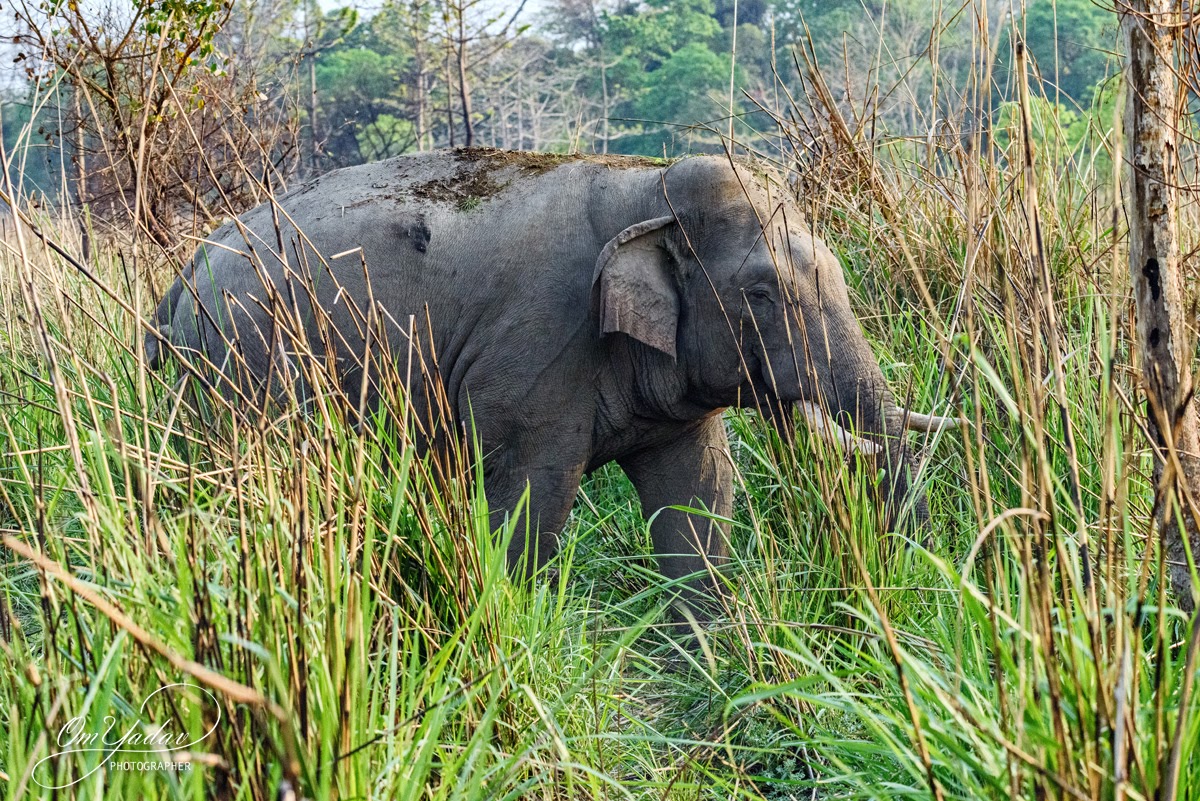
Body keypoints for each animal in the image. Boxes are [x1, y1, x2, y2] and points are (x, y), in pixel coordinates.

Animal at [145, 146, 950, 613]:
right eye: (761, 292)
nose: (919, 581)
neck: (642, 187)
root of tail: (181, 276)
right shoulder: (537, 351)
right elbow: (533, 496)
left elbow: (698, 492)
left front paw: (712, 653)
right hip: (237, 374)